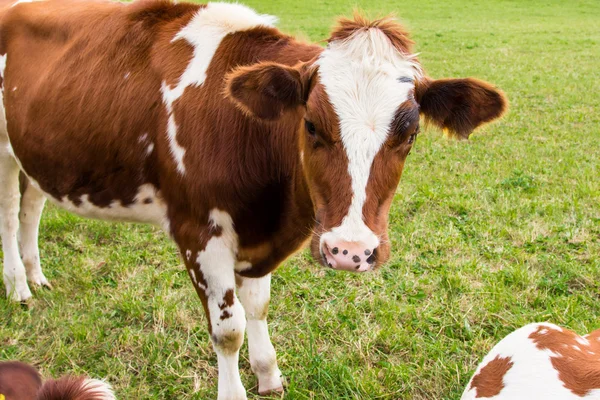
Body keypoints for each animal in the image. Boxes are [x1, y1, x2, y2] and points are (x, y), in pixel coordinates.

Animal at [0, 1, 506, 398]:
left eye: (410, 133)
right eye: (311, 124)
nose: (349, 251)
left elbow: (258, 307)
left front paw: (269, 375)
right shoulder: (198, 233)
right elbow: (229, 329)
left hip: (37, 151)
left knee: (31, 207)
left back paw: (37, 276)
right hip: (4, 151)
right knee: (8, 216)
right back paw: (19, 287)